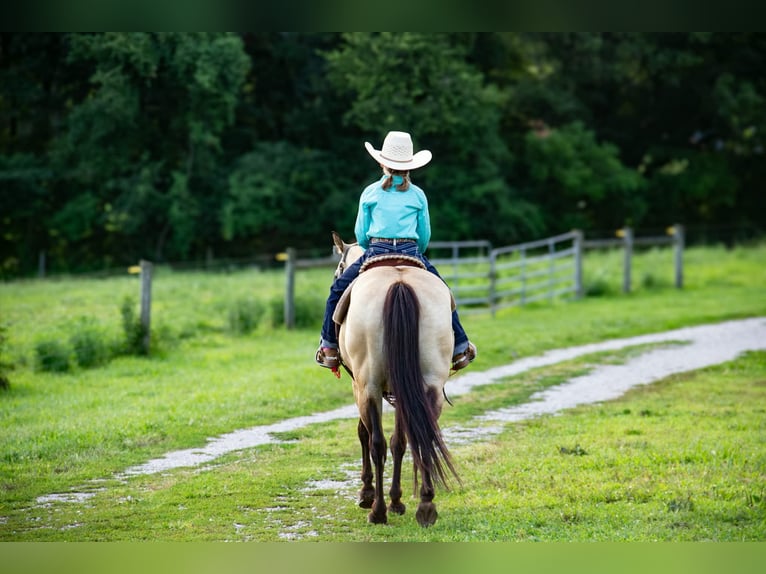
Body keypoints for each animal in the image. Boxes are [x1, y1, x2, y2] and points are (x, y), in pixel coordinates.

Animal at [330, 231, 460, 527]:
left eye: (339, 269)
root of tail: (399, 284)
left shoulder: (359, 386)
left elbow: (365, 433)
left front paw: (367, 494)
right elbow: (399, 441)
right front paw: (397, 501)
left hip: (369, 386)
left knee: (376, 443)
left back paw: (377, 511)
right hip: (429, 384)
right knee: (422, 435)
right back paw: (425, 505)